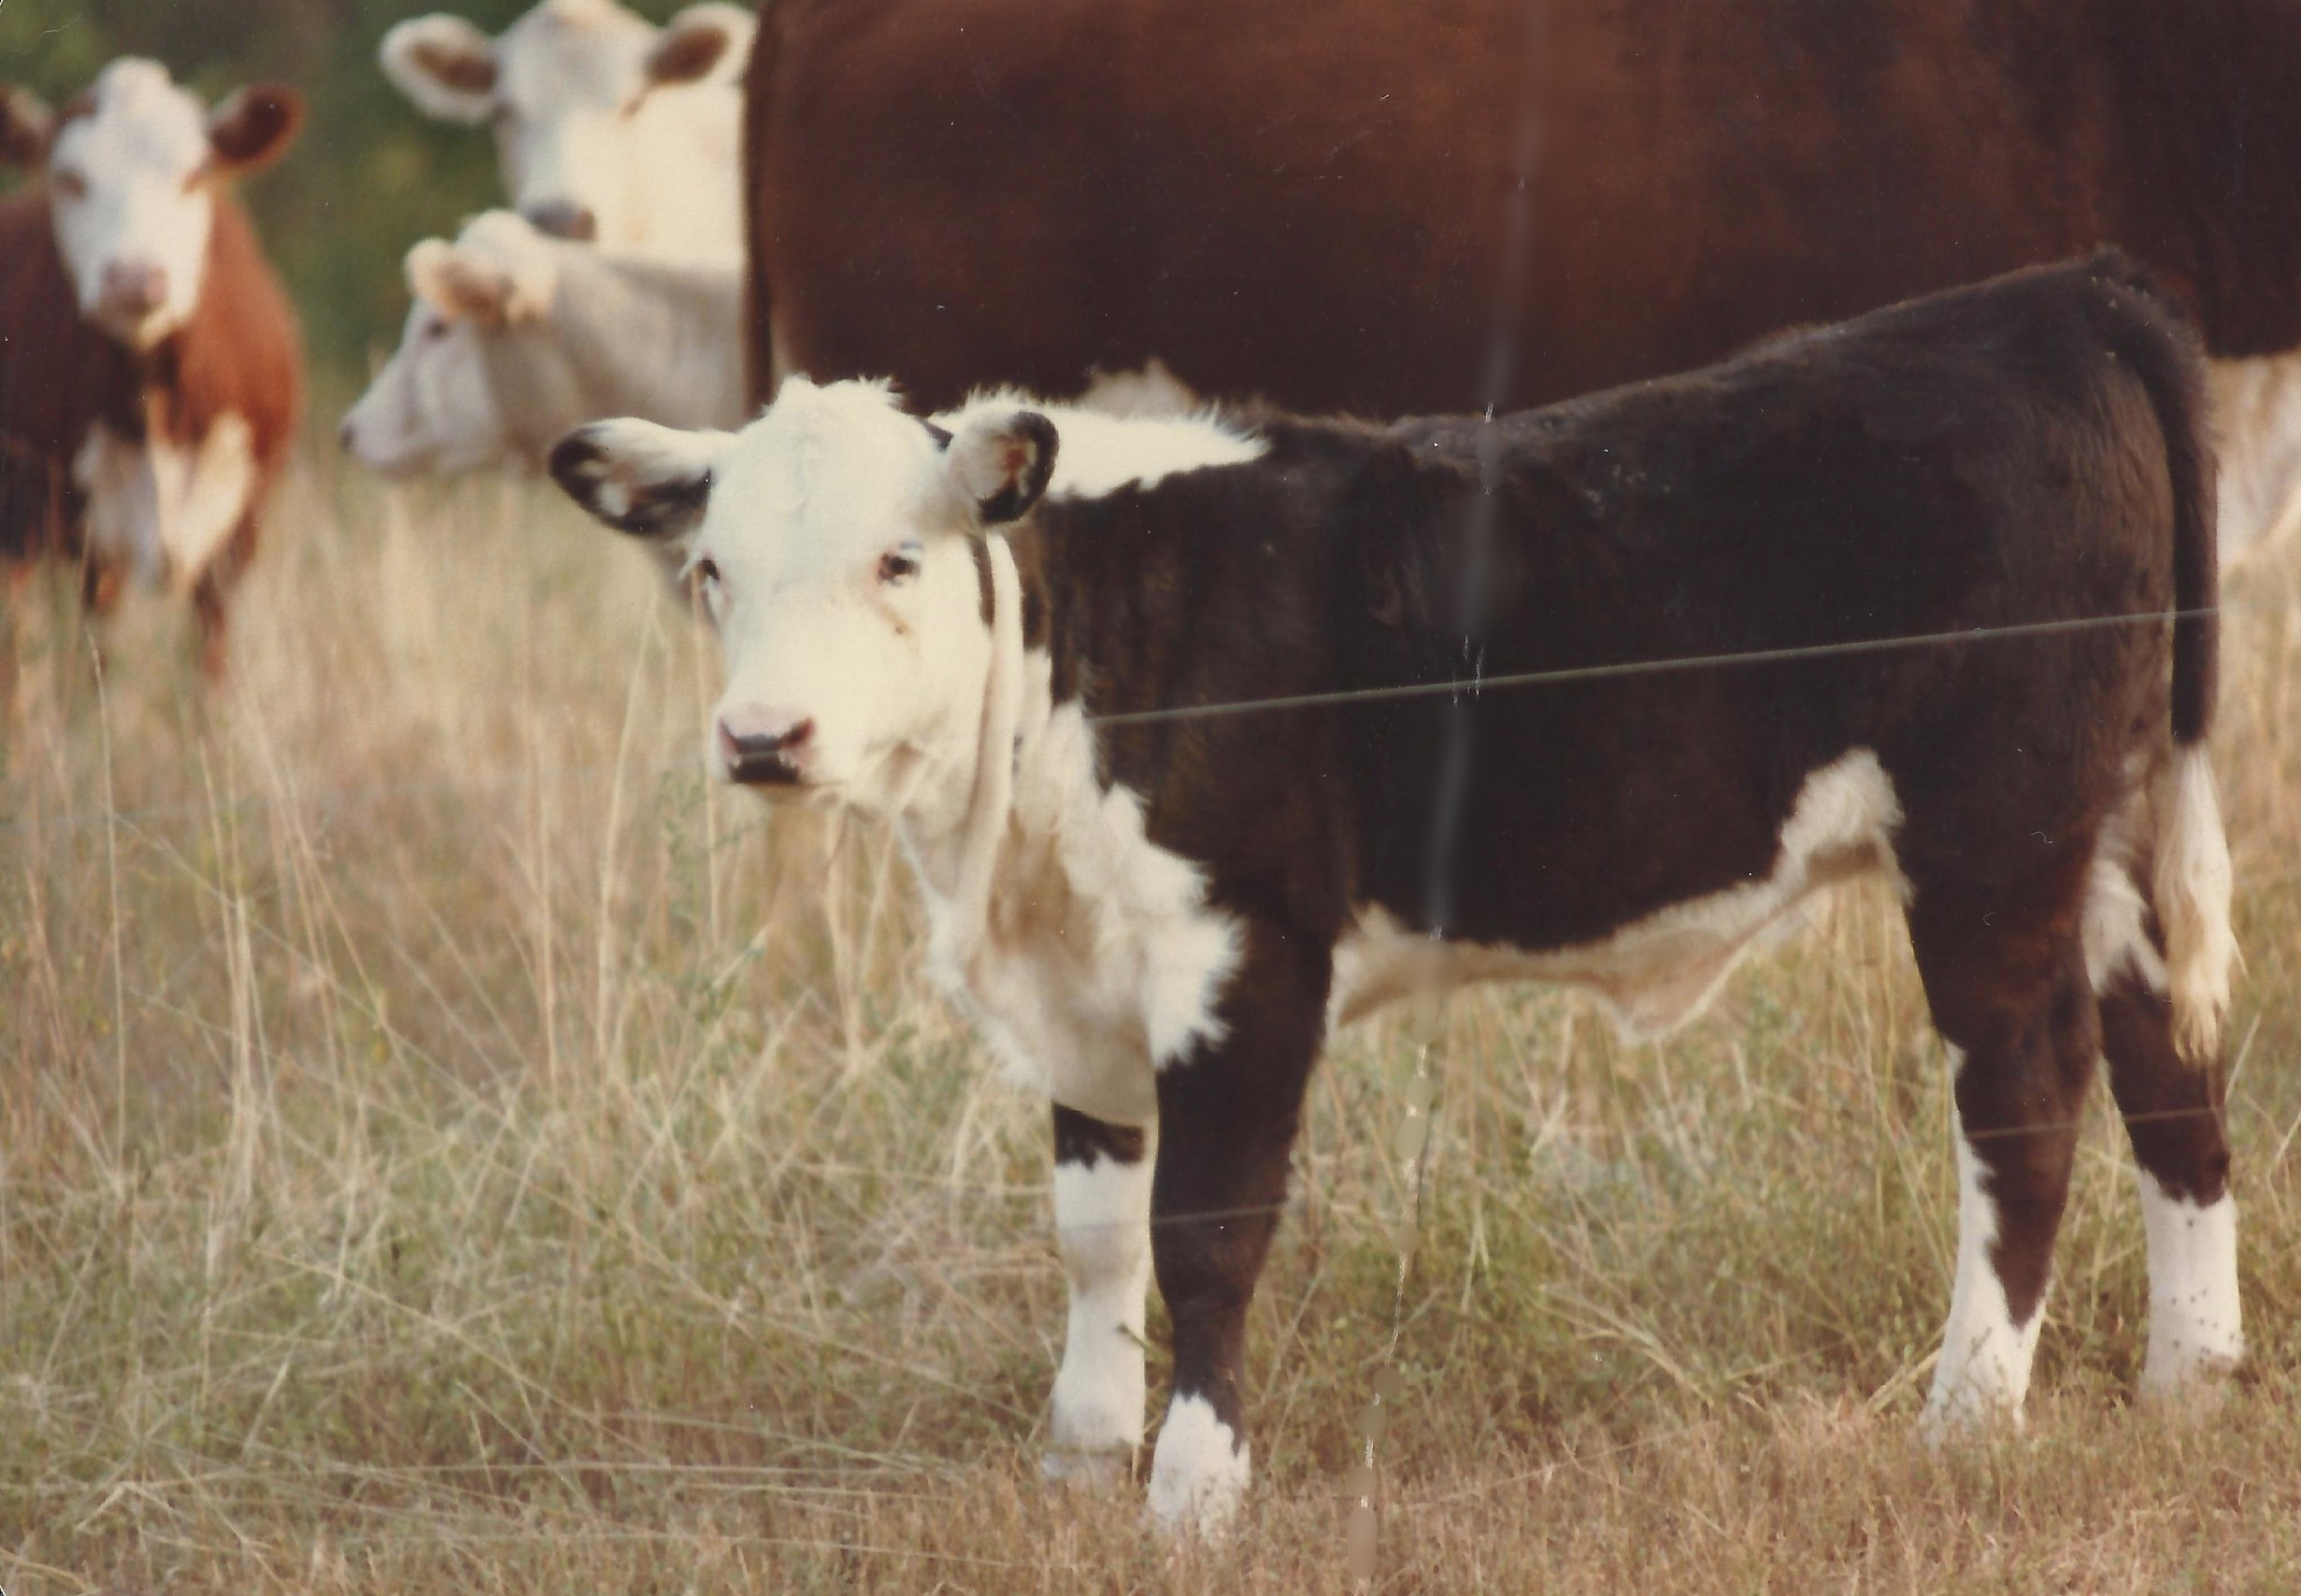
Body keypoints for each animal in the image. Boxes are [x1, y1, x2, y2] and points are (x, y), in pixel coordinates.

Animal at [0, 57, 306, 676]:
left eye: (193, 175)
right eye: (70, 177)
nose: (135, 278)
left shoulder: (235, 535)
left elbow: (209, 664)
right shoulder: (41, 527)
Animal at [547, 256, 2237, 1545]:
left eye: (899, 559)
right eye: (711, 569)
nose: (762, 737)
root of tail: (2053, 299)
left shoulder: (1239, 952)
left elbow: (1203, 1230)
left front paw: (1190, 1495)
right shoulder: (1085, 979)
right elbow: (1093, 1236)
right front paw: (1078, 1462)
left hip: (1992, 837)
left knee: (2022, 1093)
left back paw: (1967, 1415)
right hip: (2112, 831)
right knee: (2169, 1060)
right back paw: (2190, 1379)